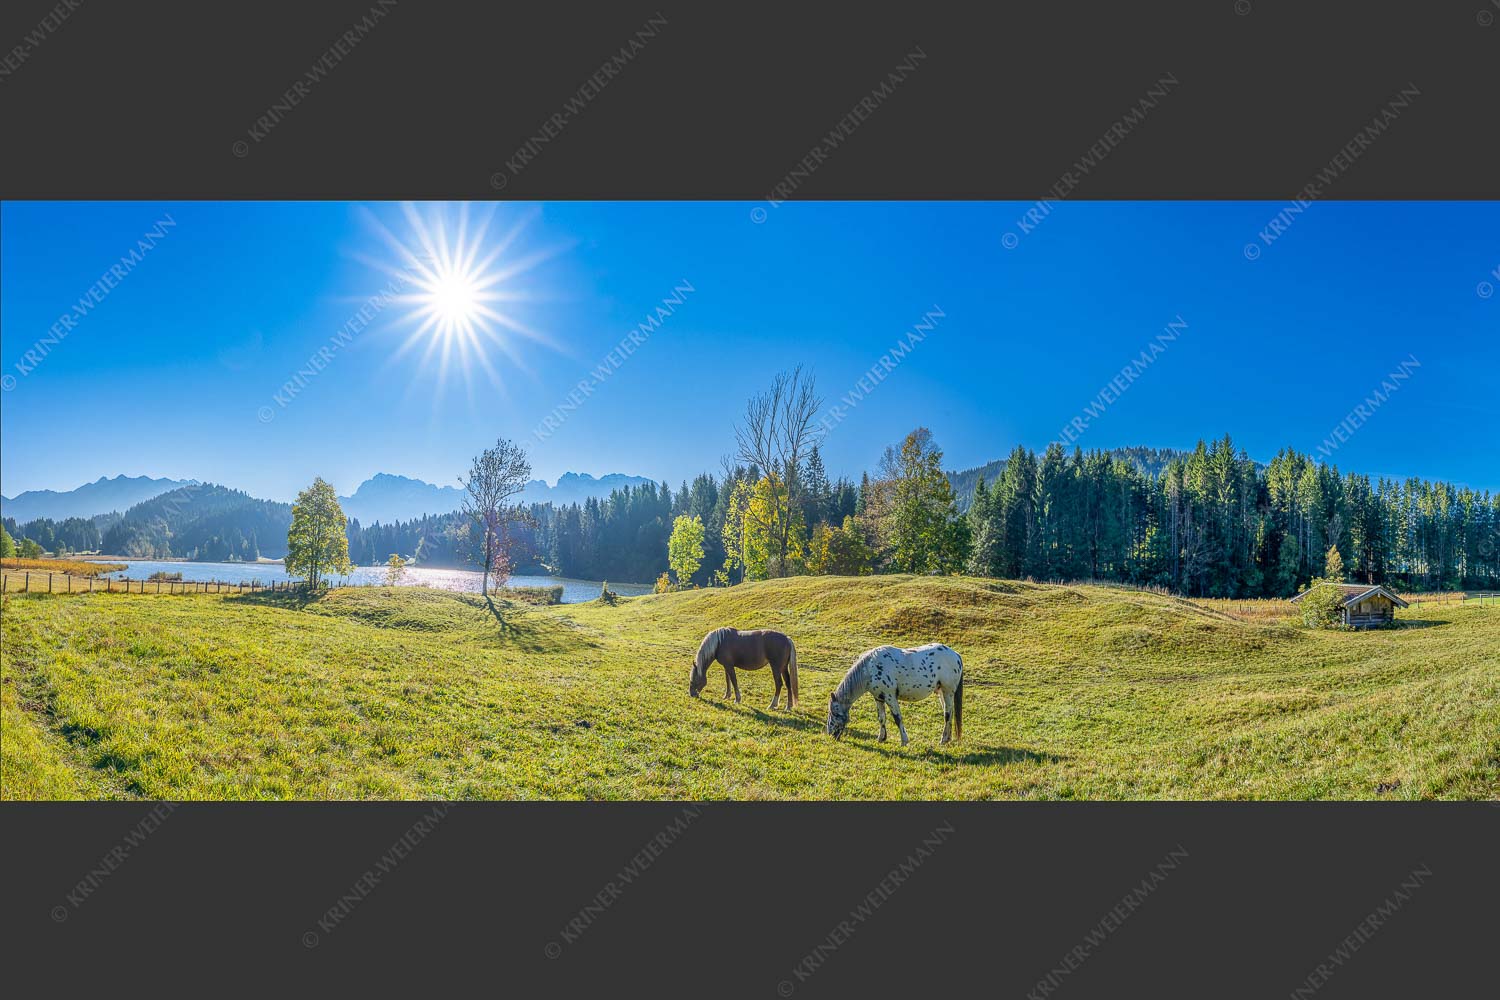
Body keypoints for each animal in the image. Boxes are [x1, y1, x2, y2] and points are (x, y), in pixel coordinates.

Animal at [826, 644, 963, 746]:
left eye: (835, 713)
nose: (830, 734)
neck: (870, 669)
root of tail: (956, 655)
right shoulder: (878, 698)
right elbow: (881, 718)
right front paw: (881, 738)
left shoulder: (890, 697)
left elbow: (897, 718)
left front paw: (904, 741)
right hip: (941, 692)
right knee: (949, 713)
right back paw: (947, 738)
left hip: (948, 692)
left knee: (947, 714)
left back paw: (943, 740)